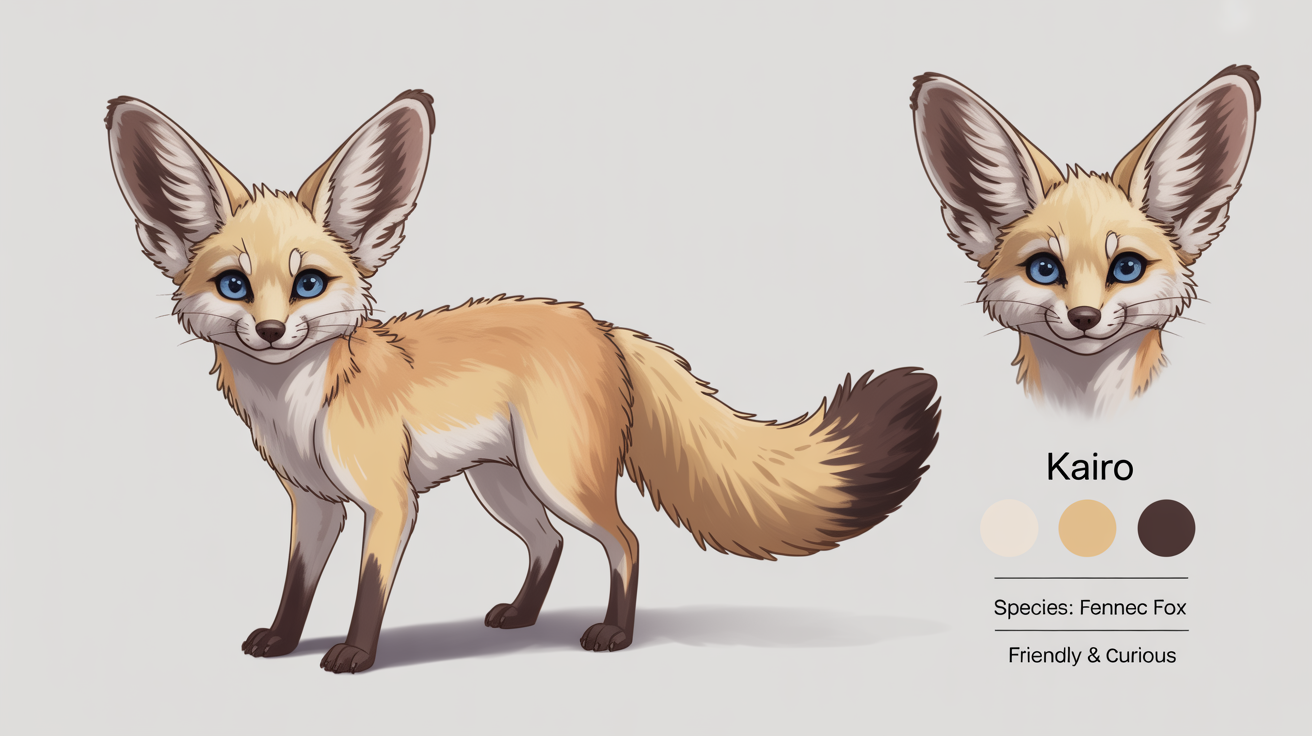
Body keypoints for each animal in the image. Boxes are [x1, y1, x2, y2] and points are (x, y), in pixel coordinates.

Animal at [106, 90, 941, 673]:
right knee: (552, 545)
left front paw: (356, 655)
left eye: (308, 283)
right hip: (503, 484)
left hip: (559, 478)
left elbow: (368, 591)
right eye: (236, 286)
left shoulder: (389, 503)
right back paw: (522, 617)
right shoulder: (313, 506)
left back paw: (613, 634)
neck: (303, 409)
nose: (273, 332)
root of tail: (599, 324)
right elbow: (295, 587)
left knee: (626, 542)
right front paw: (283, 642)